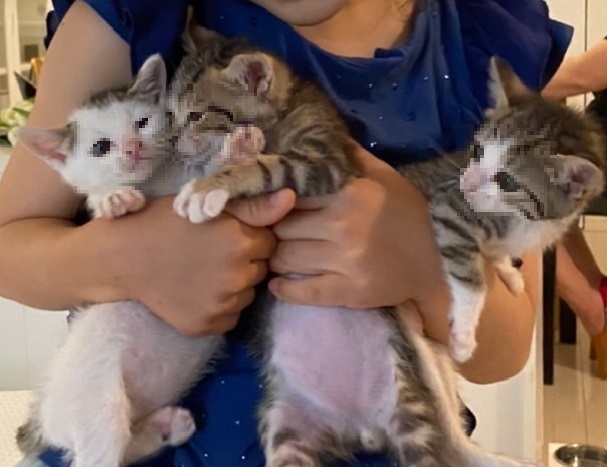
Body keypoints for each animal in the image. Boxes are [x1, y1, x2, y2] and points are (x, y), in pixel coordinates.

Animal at [14, 54, 265, 467]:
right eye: (101, 146)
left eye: (142, 123)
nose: (132, 148)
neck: (151, 183)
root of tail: (48, 417)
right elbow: (100, 201)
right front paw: (111, 198)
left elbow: (204, 178)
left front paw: (237, 150)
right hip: (97, 400)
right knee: (100, 452)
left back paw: (165, 428)